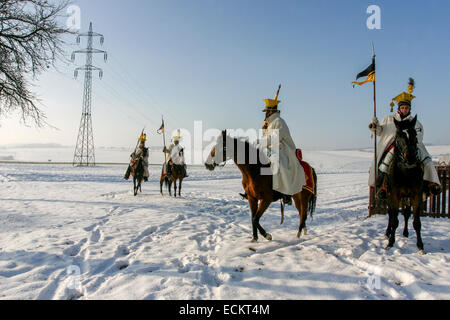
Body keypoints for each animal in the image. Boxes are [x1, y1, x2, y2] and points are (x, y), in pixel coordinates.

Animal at [384, 116, 426, 254]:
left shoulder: (416, 194)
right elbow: (394, 220)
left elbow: (417, 222)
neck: (406, 172)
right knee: (391, 214)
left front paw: (420, 246)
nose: (411, 158)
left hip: (406, 197)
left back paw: (406, 233)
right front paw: (390, 242)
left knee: (406, 213)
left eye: (415, 134)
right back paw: (388, 232)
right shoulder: (394, 195)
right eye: (399, 136)